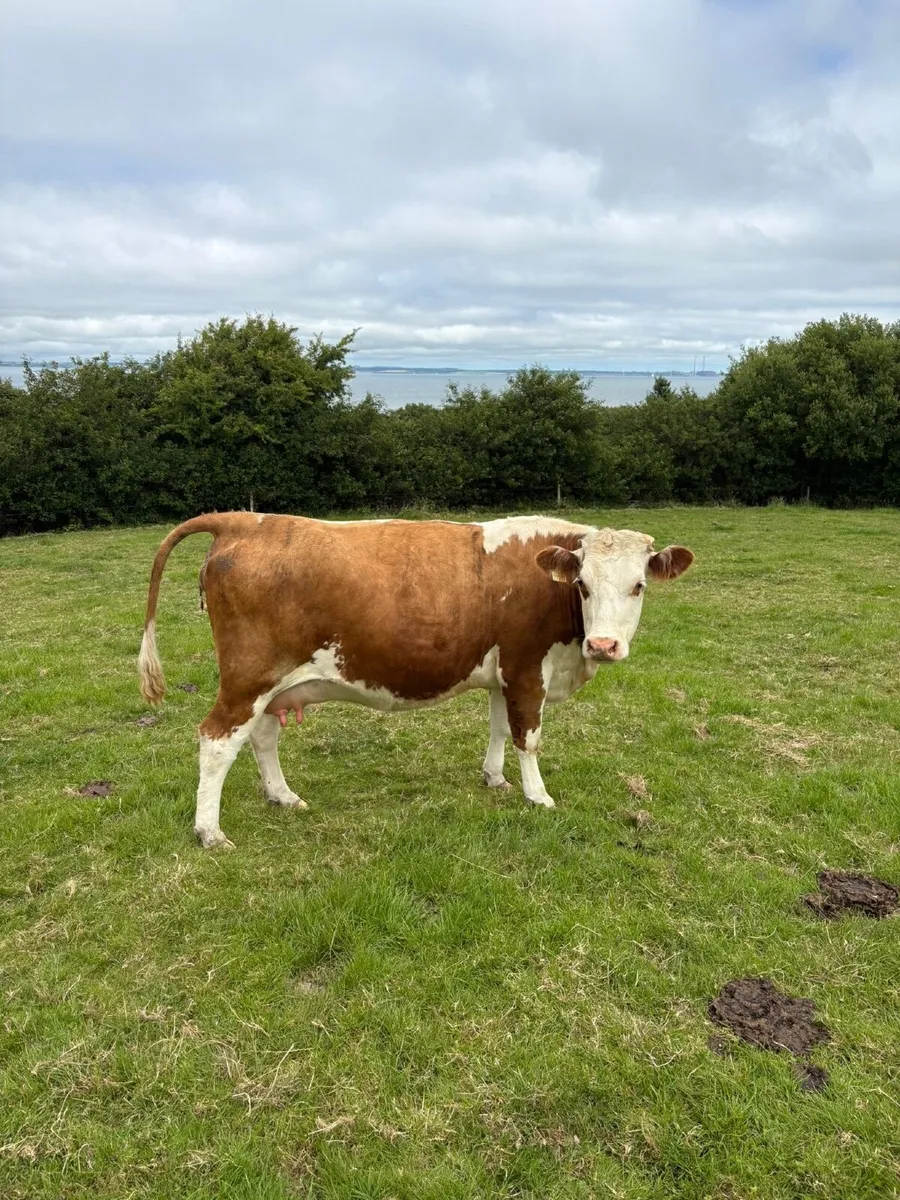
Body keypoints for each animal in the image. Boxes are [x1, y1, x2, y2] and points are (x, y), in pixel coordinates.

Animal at [138, 513, 694, 847]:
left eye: (638, 585)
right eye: (582, 584)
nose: (603, 645)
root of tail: (245, 519)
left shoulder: (503, 674)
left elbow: (499, 728)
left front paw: (495, 778)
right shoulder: (526, 668)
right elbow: (528, 738)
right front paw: (538, 797)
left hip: (274, 686)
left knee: (262, 737)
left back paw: (283, 796)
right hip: (248, 677)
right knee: (217, 740)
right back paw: (209, 831)